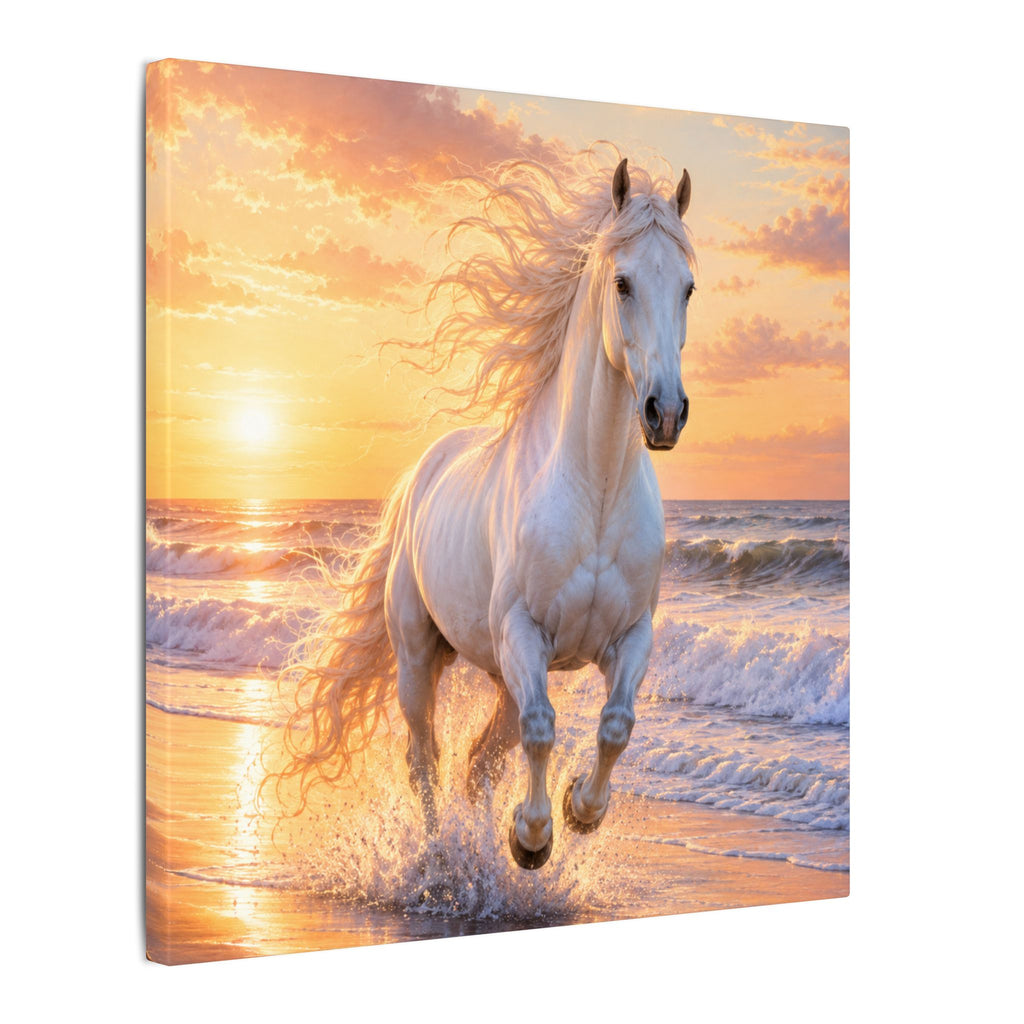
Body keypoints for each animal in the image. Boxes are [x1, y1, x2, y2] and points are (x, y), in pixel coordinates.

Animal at [275, 154, 696, 870]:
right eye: (623, 282)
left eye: (689, 288)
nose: (664, 413)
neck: (594, 494)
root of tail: (421, 473)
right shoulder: (523, 633)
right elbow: (540, 729)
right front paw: (531, 837)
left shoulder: (629, 635)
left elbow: (615, 725)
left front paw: (580, 810)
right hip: (421, 657)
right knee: (427, 758)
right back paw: (441, 854)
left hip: (499, 671)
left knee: (478, 763)